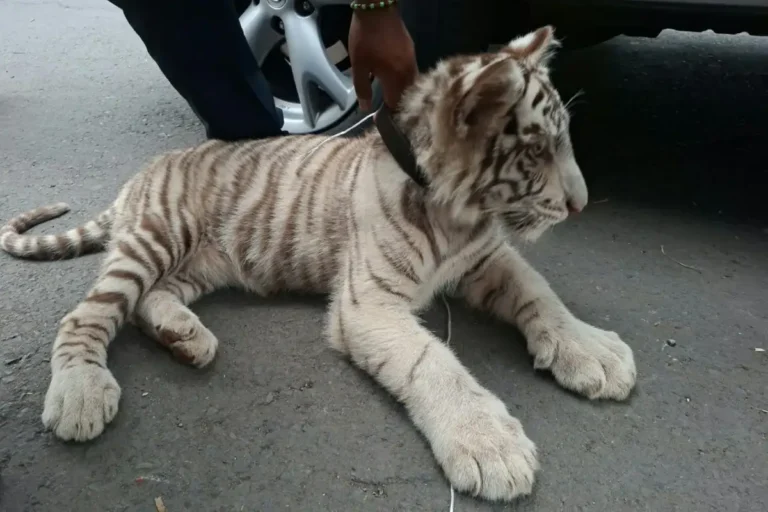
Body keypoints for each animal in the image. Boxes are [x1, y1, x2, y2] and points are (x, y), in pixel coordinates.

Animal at [0, 26, 636, 502]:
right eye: (536, 151)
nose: (581, 204)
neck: (461, 215)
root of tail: (142, 174)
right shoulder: (369, 303)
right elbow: (435, 363)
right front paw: (489, 444)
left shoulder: (488, 259)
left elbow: (541, 293)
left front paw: (592, 351)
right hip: (156, 236)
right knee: (87, 315)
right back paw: (80, 393)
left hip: (201, 262)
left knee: (148, 300)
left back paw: (185, 337)